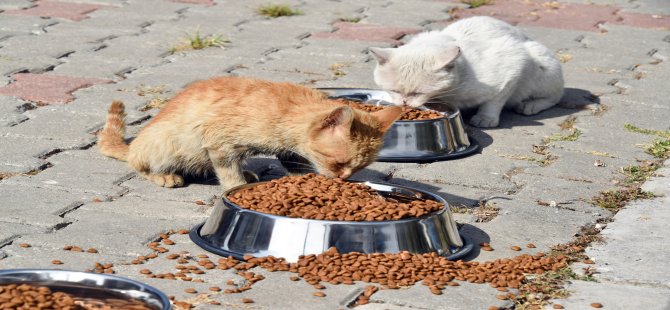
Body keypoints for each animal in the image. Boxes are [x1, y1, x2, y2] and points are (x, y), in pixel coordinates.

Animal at [98, 76, 404, 190]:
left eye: (358, 168)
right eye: (339, 163)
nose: (343, 179)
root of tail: (135, 144)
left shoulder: (288, 150)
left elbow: (295, 162)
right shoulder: (219, 143)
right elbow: (228, 173)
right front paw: (236, 187)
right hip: (164, 147)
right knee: (139, 165)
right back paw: (163, 175)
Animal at [370, 15, 564, 127]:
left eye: (418, 93)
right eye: (394, 91)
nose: (404, 103)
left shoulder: (513, 64)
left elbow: (494, 101)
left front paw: (485, 118)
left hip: (539, 60)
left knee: (555, 97)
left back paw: (529, 105)